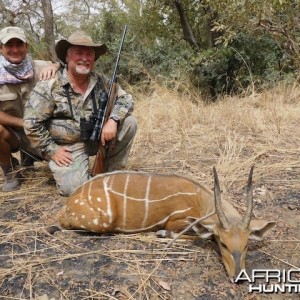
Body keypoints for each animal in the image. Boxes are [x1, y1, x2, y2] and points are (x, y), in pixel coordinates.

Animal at [55, 166, 276, 282]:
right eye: (223, 243)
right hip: (102, 221)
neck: (200, 200)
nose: (239, 277)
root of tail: (67, 206)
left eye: (246, 245)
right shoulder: (176, 221)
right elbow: (185, 234)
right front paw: (161, 234)